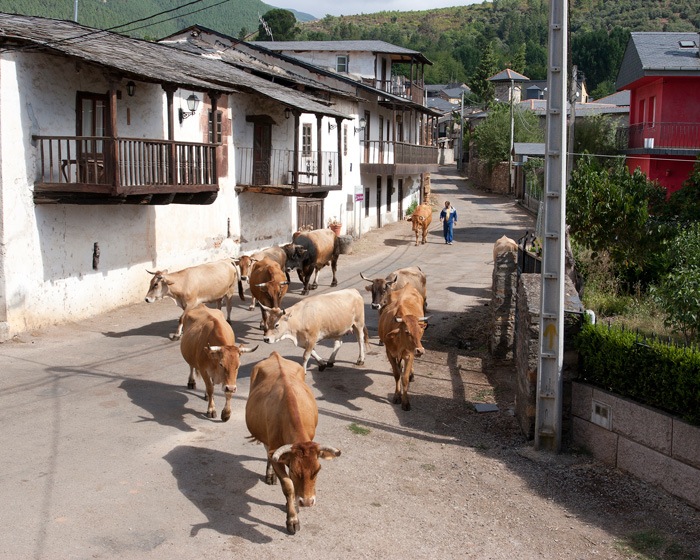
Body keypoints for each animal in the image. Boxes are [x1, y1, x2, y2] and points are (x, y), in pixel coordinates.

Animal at [245, 351, 341, 534]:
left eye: (318, 470)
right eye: (296, 471)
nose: (308, 502)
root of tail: (275, 355)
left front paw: (295, 505)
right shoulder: (276, 455)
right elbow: (288, 486)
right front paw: (292, 518)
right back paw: (270, 475)